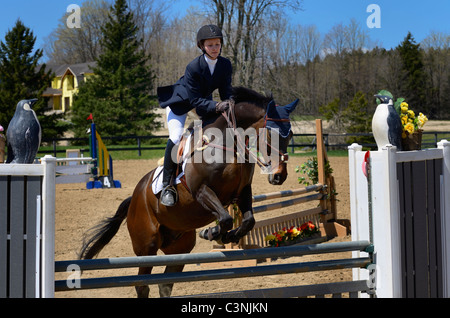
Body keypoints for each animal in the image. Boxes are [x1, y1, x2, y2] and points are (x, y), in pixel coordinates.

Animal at [79, 85, 300, 296]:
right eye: (270, 134)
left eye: (290, 135)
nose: (279, 175)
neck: (228, 144)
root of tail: (133, 198)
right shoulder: (201, 191)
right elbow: (226, 218)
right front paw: (211, 232)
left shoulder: (243, 190)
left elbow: (248, 221)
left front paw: (225, 236)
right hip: (147, 245)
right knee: (143, 285)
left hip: (179, 246)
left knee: (165, 284)